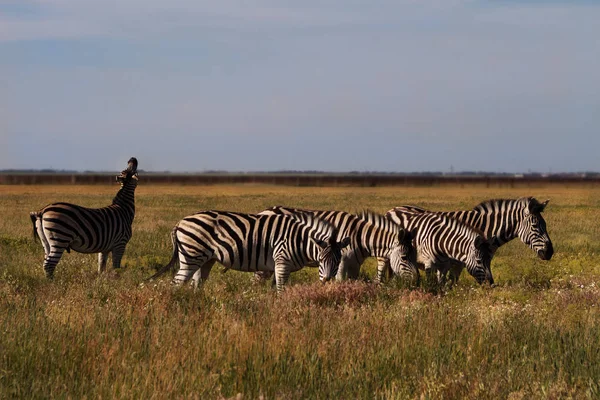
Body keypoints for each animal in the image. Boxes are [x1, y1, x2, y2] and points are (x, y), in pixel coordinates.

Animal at [146, 209, 352, 290]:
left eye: (338, 261)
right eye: (321, 260)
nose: (327, 281)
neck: (299, 240)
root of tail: (180, 222)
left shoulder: (276, 266)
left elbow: (274, 289)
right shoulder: (282, 261)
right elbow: (281, 289)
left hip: (204, 259)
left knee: (196, 284)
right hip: (191, 256)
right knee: (177, 283)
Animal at [255, 206, 420, 284]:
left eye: (415, 256)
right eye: (404, 257)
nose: (417, 281)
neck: (358, 236)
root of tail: (263, 211)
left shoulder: (354, 265)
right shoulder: (340, 264)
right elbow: (340, 283)